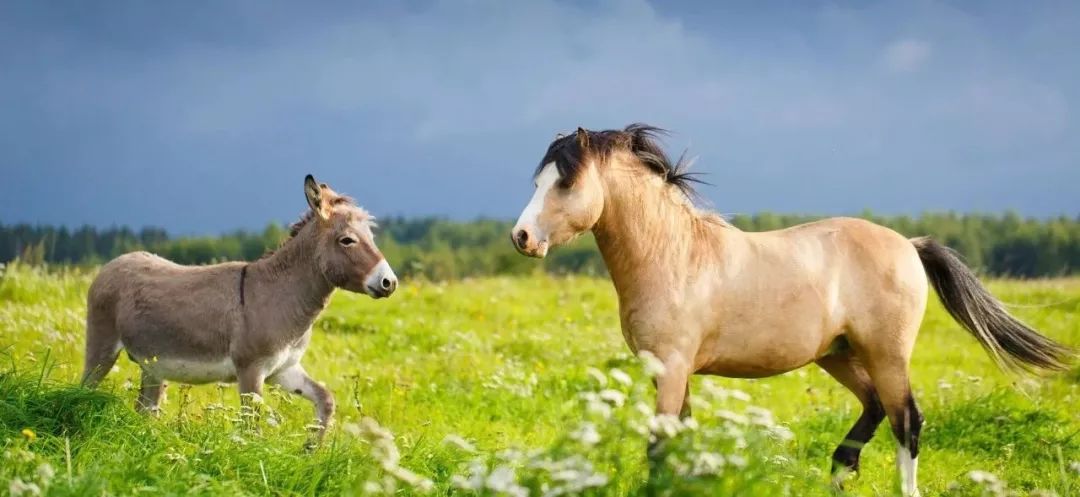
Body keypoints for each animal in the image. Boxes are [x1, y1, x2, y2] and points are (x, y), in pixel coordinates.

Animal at [82, 175, 397, 442]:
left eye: (371, 238)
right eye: (347, 240)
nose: (389, 282)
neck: (279, 295)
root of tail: (113, 263)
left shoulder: (284, 369)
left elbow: (326, 399)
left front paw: (309, 450)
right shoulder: (251, 370)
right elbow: (251, 428)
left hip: (152, 366)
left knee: (145, 409)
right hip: (102, 347)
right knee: (84, 387)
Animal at [507, 123, 1071, 492]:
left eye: (565, 182)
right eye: (536, 183)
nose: (522, 238)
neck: (675, 256)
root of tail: (909, 245)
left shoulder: (671, 368)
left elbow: (660, 444)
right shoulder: (673, 371)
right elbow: (683, 439)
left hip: (886, 354)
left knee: (905, 420)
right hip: (838, 355)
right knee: (873, 408)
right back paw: (838, 472)